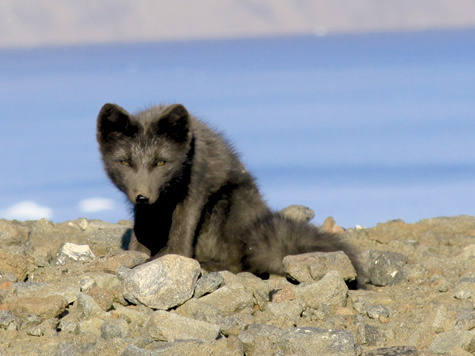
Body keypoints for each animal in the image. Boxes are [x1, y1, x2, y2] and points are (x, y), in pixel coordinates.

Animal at [96, 103, 356, 276]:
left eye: (161, 162)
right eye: (125, 162)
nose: (142, 196)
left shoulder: (193, 193)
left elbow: (179, 242)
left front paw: (168, 261)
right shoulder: (147, 211)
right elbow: (139, 239)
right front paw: (137, 257)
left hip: (229, 204)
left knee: (239, 264)